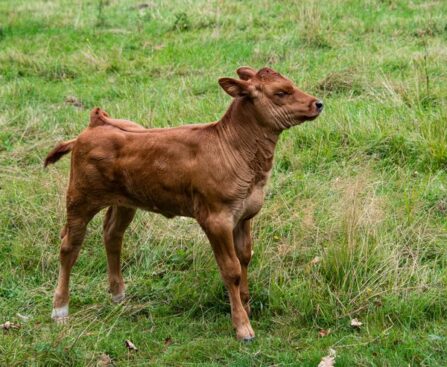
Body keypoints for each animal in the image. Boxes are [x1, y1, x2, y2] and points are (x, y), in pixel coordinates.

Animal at [45, 67, 324, 342]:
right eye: (281, 92)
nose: (318, 103)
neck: (234, 148)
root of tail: (95, 123)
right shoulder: (216, 219)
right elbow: (231, 269)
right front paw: (242, 327)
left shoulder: (244, 216)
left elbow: (245, 257)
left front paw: (246, 304)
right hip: (80, 198)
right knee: (69, 247)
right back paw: (60, 309)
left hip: (125, 202)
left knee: (112, 234)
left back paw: (118, 293)